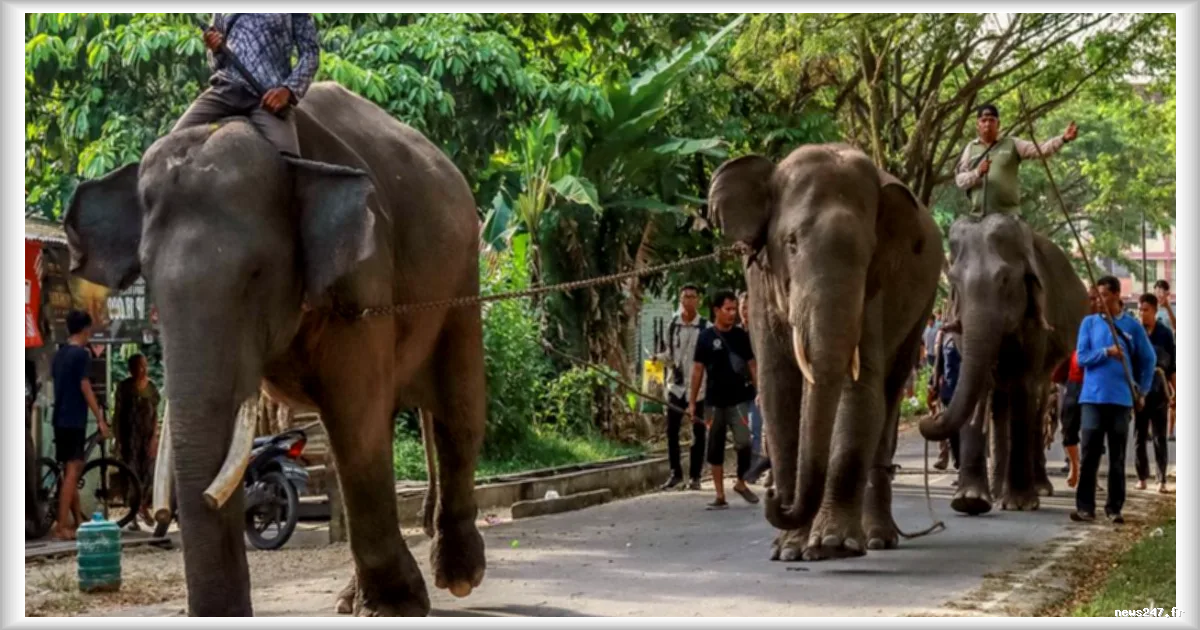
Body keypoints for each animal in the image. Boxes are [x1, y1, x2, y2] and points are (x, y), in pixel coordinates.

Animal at [64, 82, 486, 617]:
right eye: (148, 280)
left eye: (257, 275)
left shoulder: (363, 281)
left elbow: (356, 419)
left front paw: (396, 605)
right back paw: (355, 598)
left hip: (460, 275)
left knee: (457, 410)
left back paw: (459, 578)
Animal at [709, 143, 943, 561]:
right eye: (791, 243)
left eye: (868, 254)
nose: (772, 495)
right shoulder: (758, 284)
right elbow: (777, 391)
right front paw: (789, 549)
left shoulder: (874, 294)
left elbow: (860, 392)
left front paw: (833, 545)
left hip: (922, 308)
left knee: (889, 395)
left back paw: (878, 539)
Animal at [919, 213, 1087, 514]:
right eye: (954, 280)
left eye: (1005, 279)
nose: (928, 416)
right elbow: (978, 384)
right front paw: (969, 501)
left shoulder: (1036, 319)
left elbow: (1023, 385)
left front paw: (1020, 503)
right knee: (999, 399)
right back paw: (997, 492)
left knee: (1036, 402)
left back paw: (1038, 488)